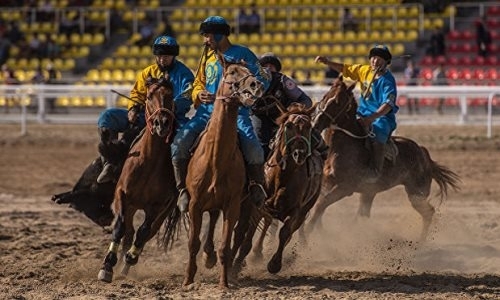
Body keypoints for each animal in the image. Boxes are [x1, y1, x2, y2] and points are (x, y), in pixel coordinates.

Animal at [96, 75, 179, 284]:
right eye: (149, 96)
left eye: (170, 95)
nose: (161, 123)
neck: (148, 161)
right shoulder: (122, 195)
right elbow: (119, 228)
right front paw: (107, 266)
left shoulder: (157, 206)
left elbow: (143, 232)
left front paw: (129, 258)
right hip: (132, 206)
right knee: (128, 233)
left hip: (161, 213)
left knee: (143, 235)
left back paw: (127, 265)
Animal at [183, 62, 266, 288]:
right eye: (232, 72)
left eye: (250, 71)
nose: (256, 85)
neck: (215, 159)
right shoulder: (194, 204)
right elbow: (193, 243)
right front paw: (188, 279)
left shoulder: (233, 205)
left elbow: (225, 246)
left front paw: (224, 283)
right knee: (211, 220)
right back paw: (207, 256)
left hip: (246, 204)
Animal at [231, 102, 324, 274]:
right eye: (288, 125)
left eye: (309, 126)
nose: (299, 154)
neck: (281, 177)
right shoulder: (258, 207)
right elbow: (248, 237)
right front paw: (238, 264)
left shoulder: (296, 211)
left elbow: (285, 233)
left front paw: (274, 264)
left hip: (305, 210)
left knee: (289, 231)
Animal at [308, 75, 460, 241]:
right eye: (325, 96)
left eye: (337, 102)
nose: (316, 123)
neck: (343, 147)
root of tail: (423, 154)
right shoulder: (327, 184)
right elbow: (320, 206)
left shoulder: (345, 188)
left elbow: (321, 205)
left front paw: (307, 233)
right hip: (370, 192)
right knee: (363, 214)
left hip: (416, 194)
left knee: (428, 213)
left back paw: (420, 242)